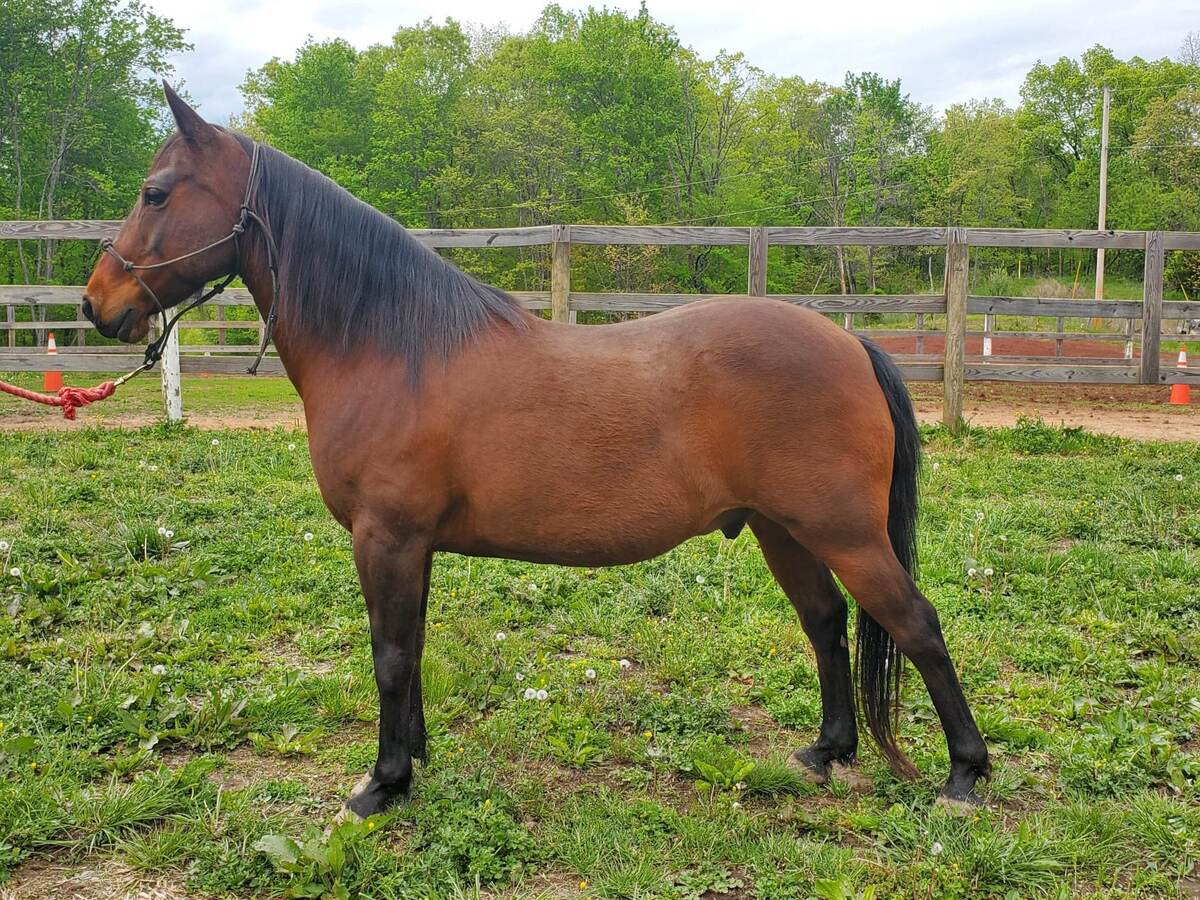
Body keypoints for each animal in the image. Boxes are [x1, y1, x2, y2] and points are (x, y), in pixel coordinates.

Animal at [82, 84, 990, 817]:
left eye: (155, 193)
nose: (97, 304)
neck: (392, 347)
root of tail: (851, 344)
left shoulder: (386, 538)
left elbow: (388, 657)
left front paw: (381, 785)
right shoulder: (412, 546)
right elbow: (411, 651)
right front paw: (413, 763)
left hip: (843, 531)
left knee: (914, 623)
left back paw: (966, 775)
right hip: (782, 529)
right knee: (827, 621)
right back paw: (828, 750)